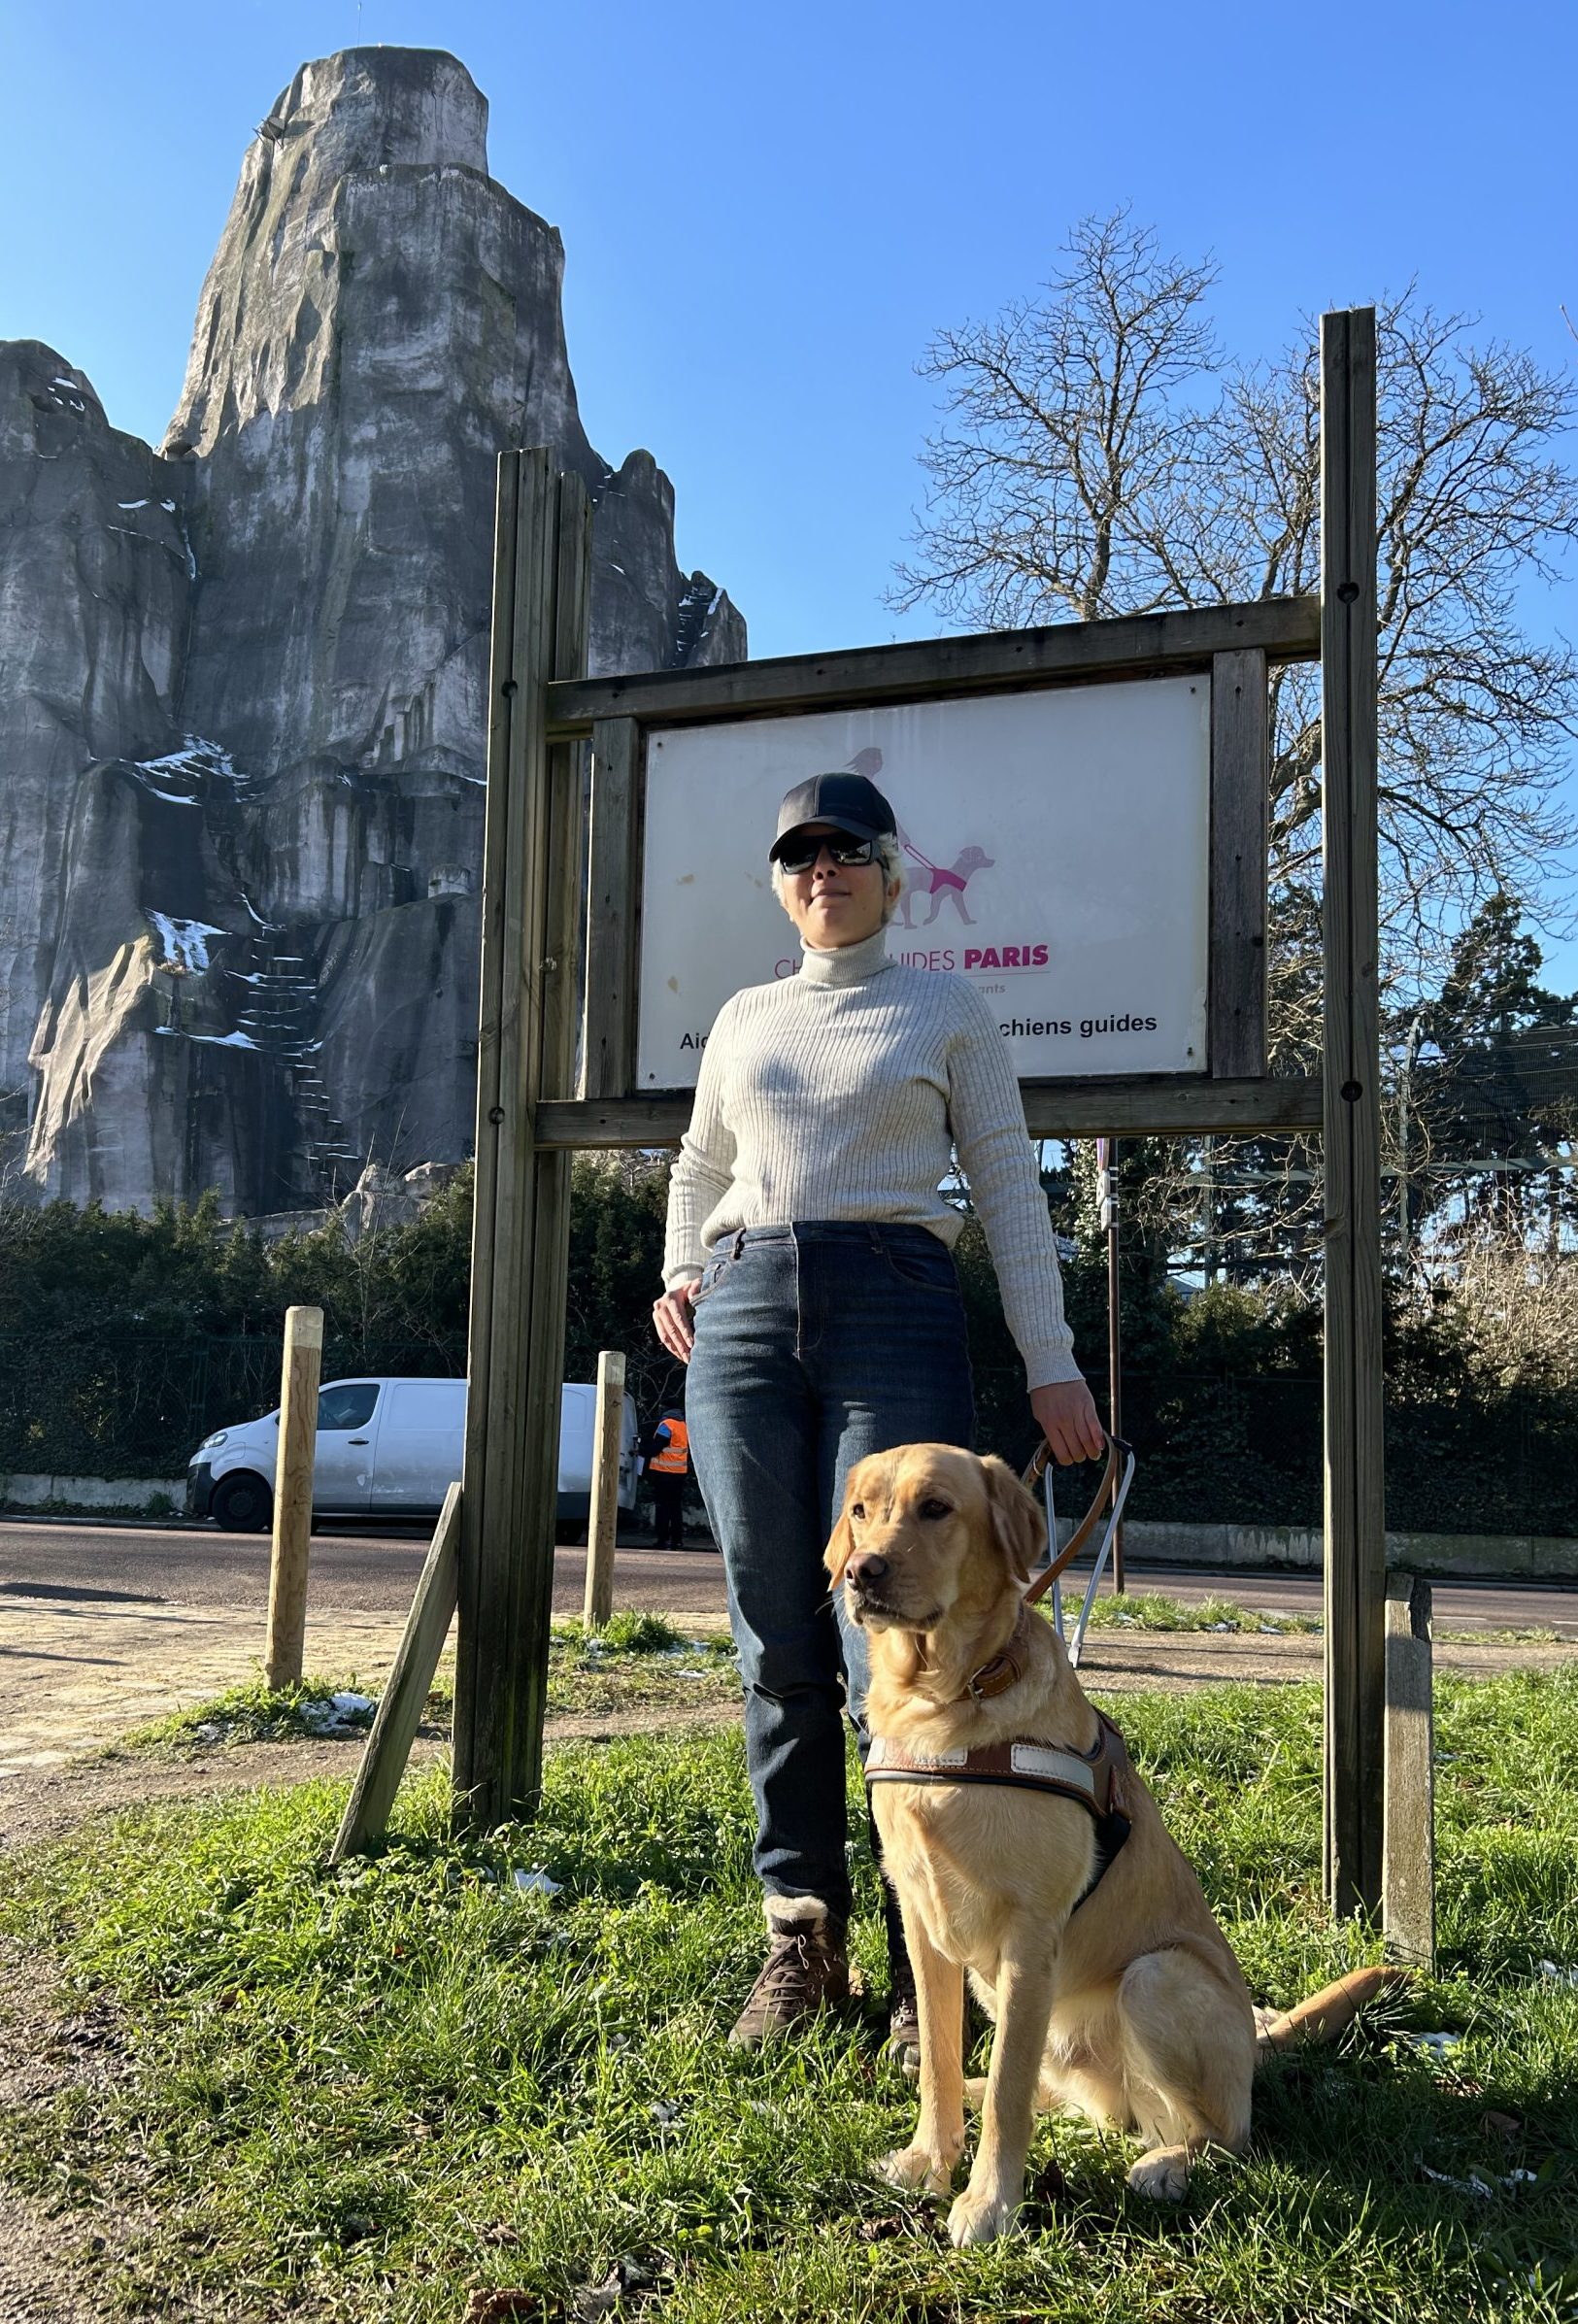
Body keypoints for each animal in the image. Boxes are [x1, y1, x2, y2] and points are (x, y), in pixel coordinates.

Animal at [831, 1440, 1403, 2240]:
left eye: (935, 1507)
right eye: (860, 1510)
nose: (862, 1571)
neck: (944, 1698)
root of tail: (1254, 2042)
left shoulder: (1029, 1932)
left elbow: (1011, 2090)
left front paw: (988, 2200)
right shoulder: (922, 1923)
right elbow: (943, 2062)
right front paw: (928, 2159)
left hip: (1155, 1976)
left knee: (1223, 2135)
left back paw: (1168, 2164)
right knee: (1047, 2091)